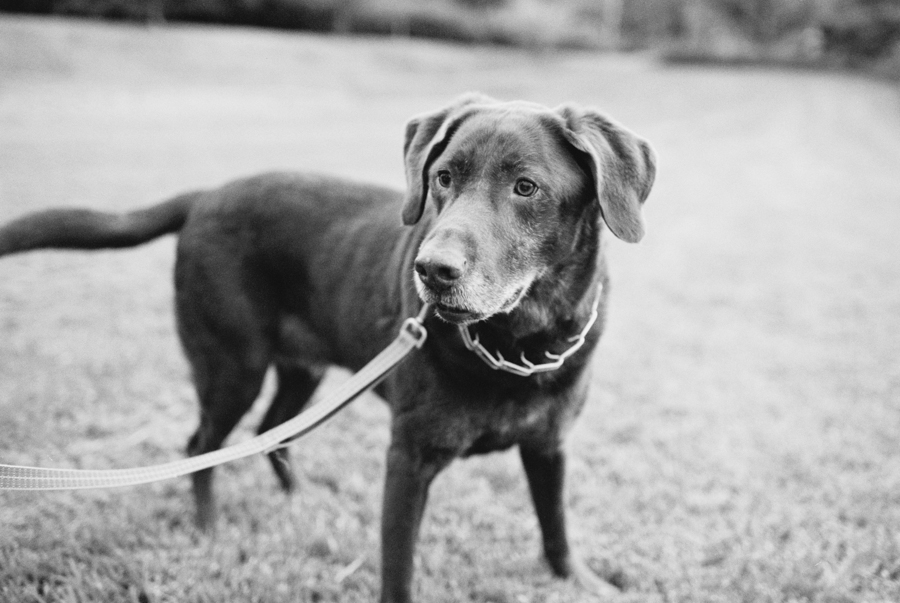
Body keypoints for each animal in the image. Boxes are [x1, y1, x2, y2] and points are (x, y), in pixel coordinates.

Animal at [3, 95, 656, 603]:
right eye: (444, 177)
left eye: (526, 188)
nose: (431, 271)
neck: (517, 346)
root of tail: (207, 194)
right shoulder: (408, 460)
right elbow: (398, 569)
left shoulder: (550, 446)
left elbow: (556, 527)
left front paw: (582, 581)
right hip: (233, 367)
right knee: (202, 445)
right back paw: (210, 529)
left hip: (303, 371)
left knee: (273, 431)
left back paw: (300, 499)